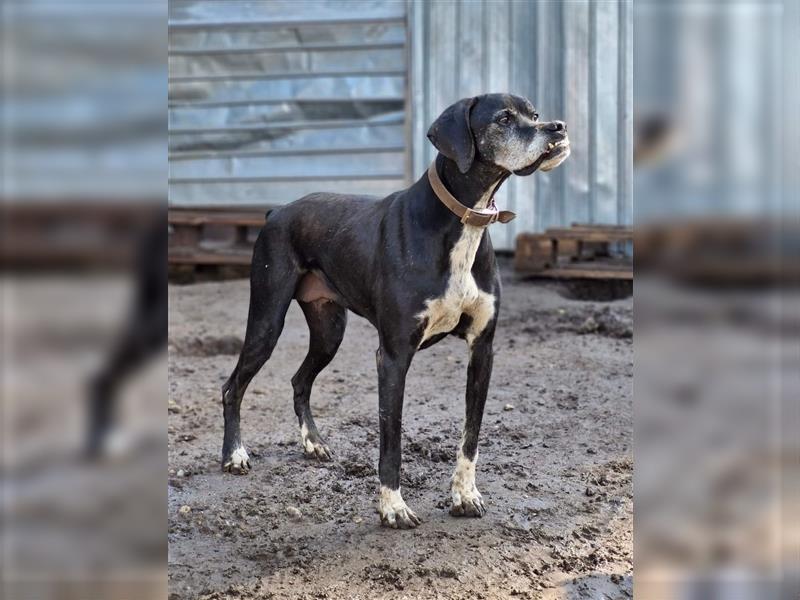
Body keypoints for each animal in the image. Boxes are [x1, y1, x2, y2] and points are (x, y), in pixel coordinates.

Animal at [219, 91, 568, 528]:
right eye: (504, 119)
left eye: (534, 114)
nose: (558, 127)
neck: (462, 222)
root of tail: (276, 211)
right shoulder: (393, 356)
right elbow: (391, 438)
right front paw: (393, 507)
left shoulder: (483, 349)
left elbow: (470, 434)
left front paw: (464, 495)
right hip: (267, 320)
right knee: (233, 386)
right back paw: (234, 455)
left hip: (329, 329)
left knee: (300, 380)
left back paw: (313, 444)